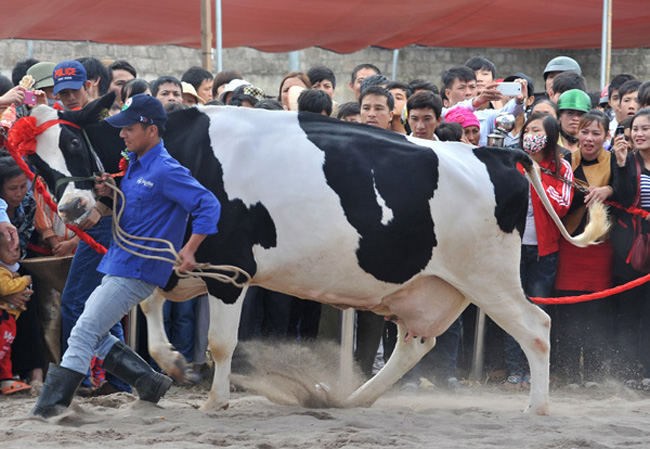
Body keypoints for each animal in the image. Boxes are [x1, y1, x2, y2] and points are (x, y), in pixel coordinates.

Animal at [20, 93, 608, 412]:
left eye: (72, 143)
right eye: (34, 160)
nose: (73, 206)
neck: (180, 148)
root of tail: (498, 152)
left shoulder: (231, 269)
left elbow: (218, 341)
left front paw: (214, 398)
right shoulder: (178, 260)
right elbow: (145, 307)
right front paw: (170, 365)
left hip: (489, 276)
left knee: (535, 327)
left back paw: (536, 408)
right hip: (430, 286)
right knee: (415, 343)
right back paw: (350, 399)